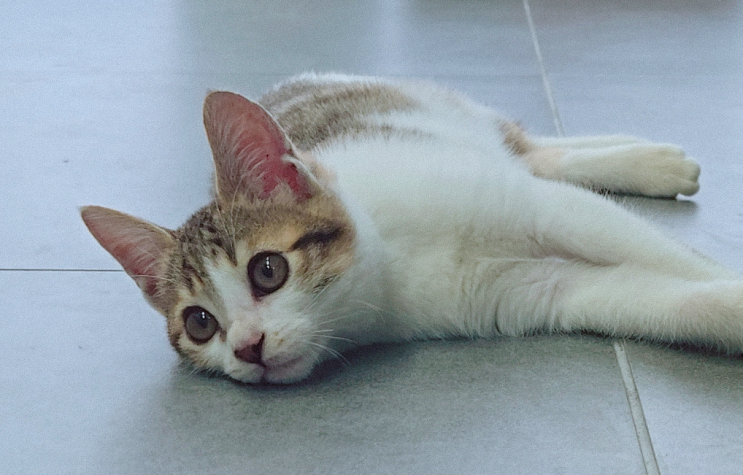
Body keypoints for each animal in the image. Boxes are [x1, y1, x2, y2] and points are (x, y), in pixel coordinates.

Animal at [81, 72, 743, 385]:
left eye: (268, 269)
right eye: (200, 324)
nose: (246, 346)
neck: (393, 268)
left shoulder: (534, 209)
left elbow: (648, 248)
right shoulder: (532, 290)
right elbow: (652, 297)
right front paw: (723, 308)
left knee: (528, 150)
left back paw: (649, 160)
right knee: (539, 157)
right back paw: (653, 160)